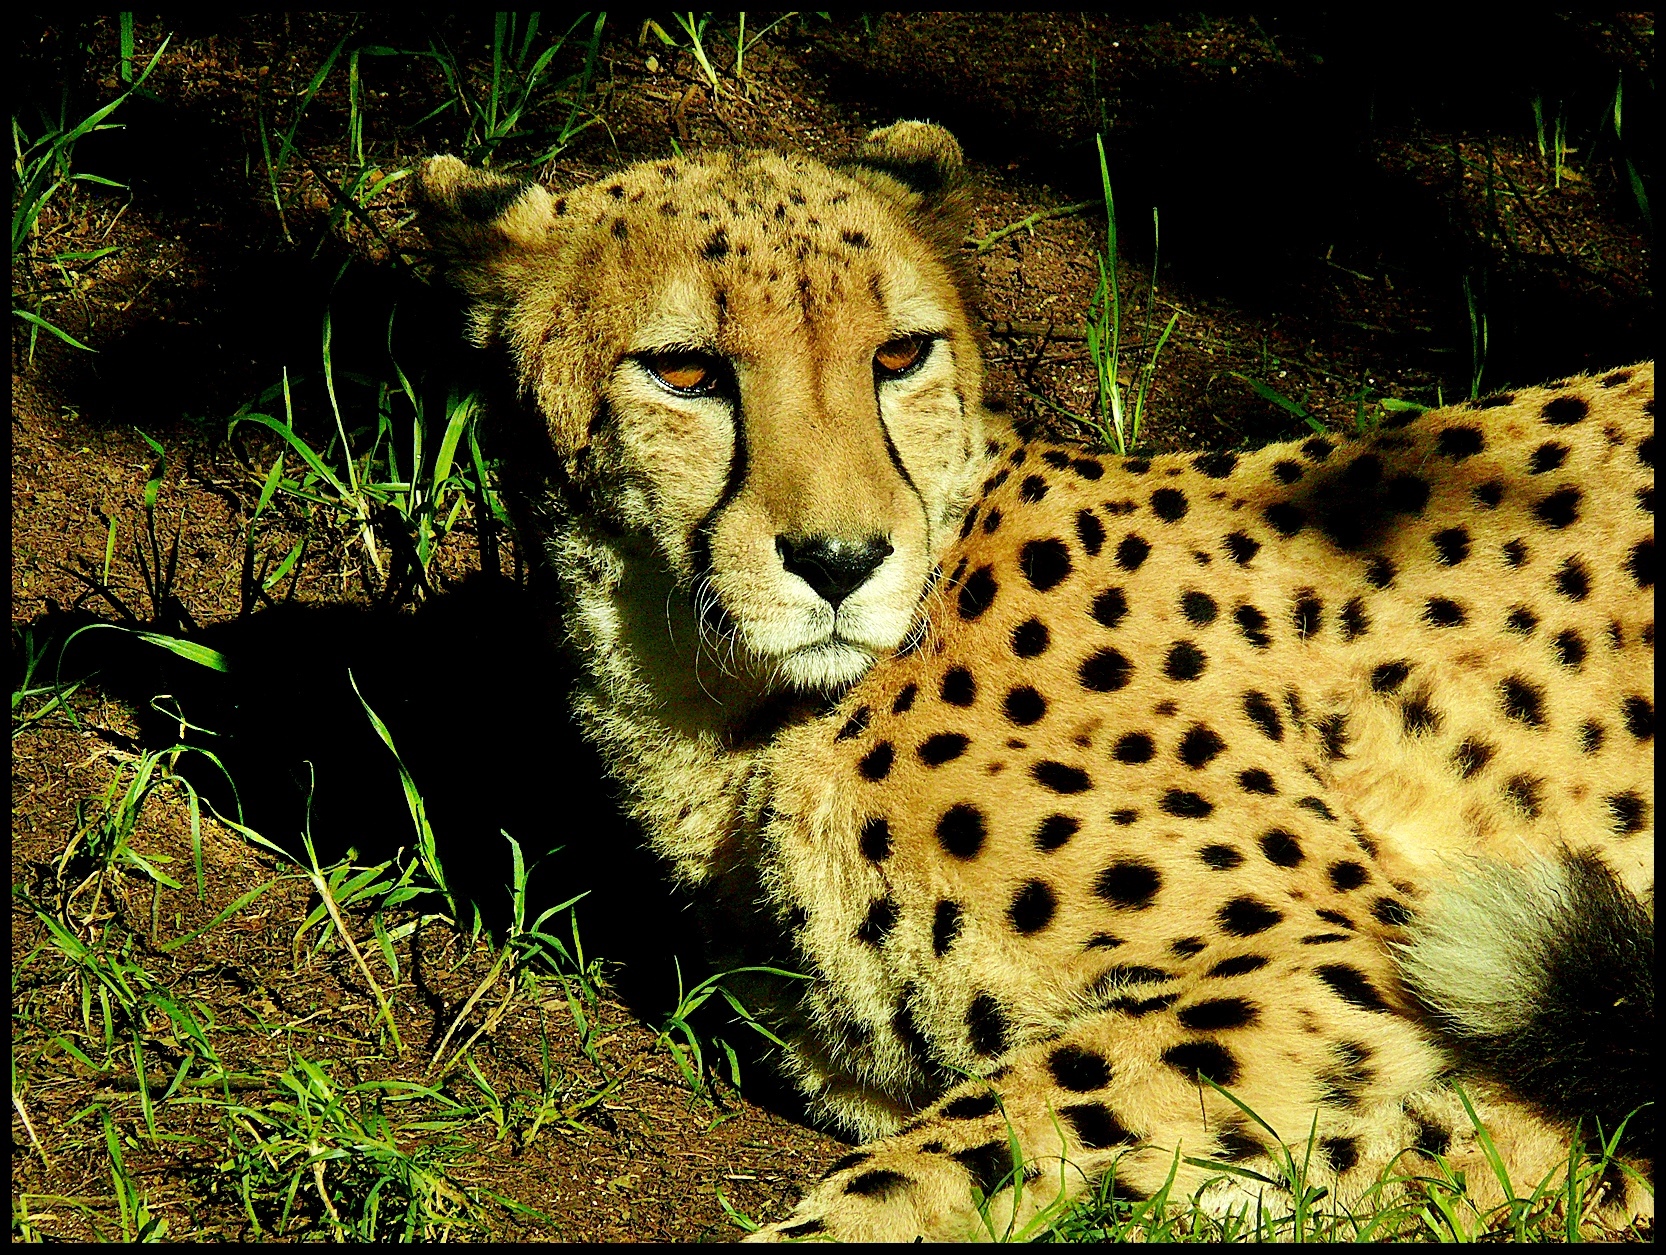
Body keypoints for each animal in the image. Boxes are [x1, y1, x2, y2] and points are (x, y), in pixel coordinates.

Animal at [415, 121, 1654, 1241]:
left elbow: (967, 1142)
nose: (839, 561)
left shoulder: (1339, 954)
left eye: (897, 356)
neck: (721, 712)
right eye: (685, 371)